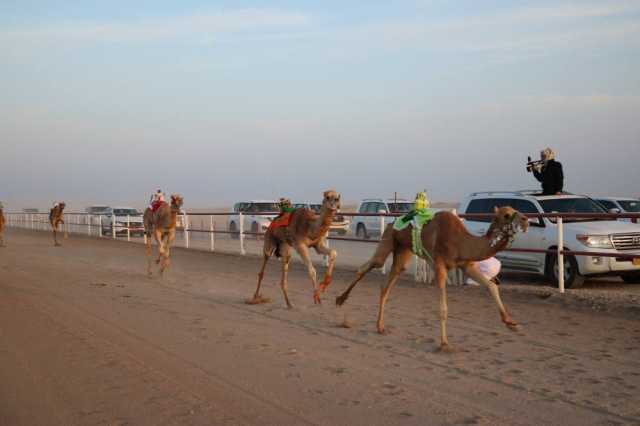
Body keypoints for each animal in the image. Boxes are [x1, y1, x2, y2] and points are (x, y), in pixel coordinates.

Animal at [338, 205, 528, 352]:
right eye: (507, 214)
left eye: (515, 209)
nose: (526, 220)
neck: (461, 240)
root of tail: (392, 222)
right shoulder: (440, 266)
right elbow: (443, 308)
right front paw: (444, 344)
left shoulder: (466, 265)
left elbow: (491, 286)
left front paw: (510, 322)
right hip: (388, 238)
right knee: (369, 266)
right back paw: (340, 299)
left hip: (402, 251)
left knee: (387, 285)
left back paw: (380, 327)